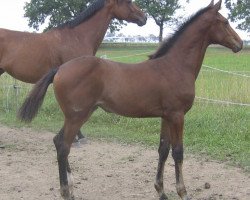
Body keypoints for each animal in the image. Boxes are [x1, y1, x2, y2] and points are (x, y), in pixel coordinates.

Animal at [19, 0, 242, 200]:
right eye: (225, 22)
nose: (239, 44)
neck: (175, 66)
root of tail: (59, 69)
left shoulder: (166, 116)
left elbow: (163, 149)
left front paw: (161, 191)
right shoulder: (177, 115)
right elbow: (178, 152)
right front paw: (183, 192)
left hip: (79, 115)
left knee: (58, 141)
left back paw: (71, 188)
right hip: (76, 116)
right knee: (63, 146)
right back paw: (66, 192)